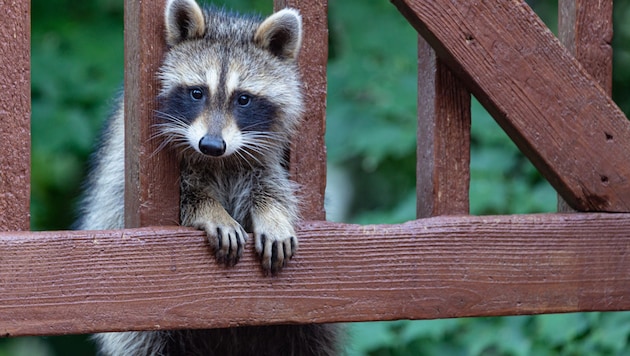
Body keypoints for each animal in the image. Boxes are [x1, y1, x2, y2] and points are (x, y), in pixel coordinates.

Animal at [78, 0, 340, 354]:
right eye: (197, 93)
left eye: (243, 98)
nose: (212, 145)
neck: (220, 161)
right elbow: (183, 196)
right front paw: (210, 210)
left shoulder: (265, 152)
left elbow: (272, 183)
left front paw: (273, 213)